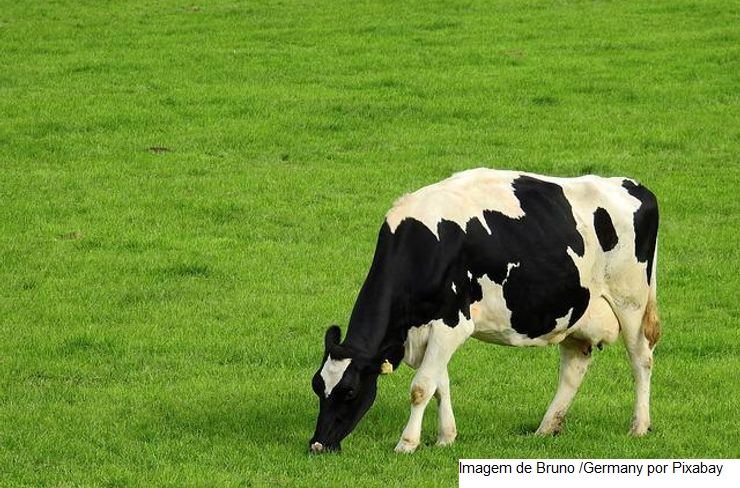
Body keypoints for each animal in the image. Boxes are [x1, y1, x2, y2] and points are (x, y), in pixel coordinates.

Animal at [309, 168, 660, 454]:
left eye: (350, 392)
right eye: (317, 386)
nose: (317, 444)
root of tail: (634, 185)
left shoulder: (452, 323)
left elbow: (422, 387)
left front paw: (407, 443)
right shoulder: (433, 328)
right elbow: (440, 384)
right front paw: (446, 437)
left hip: (631, 301)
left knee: (640, 359)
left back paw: (639, 427)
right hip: (576, 311)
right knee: (574, 367)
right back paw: (546, 428)